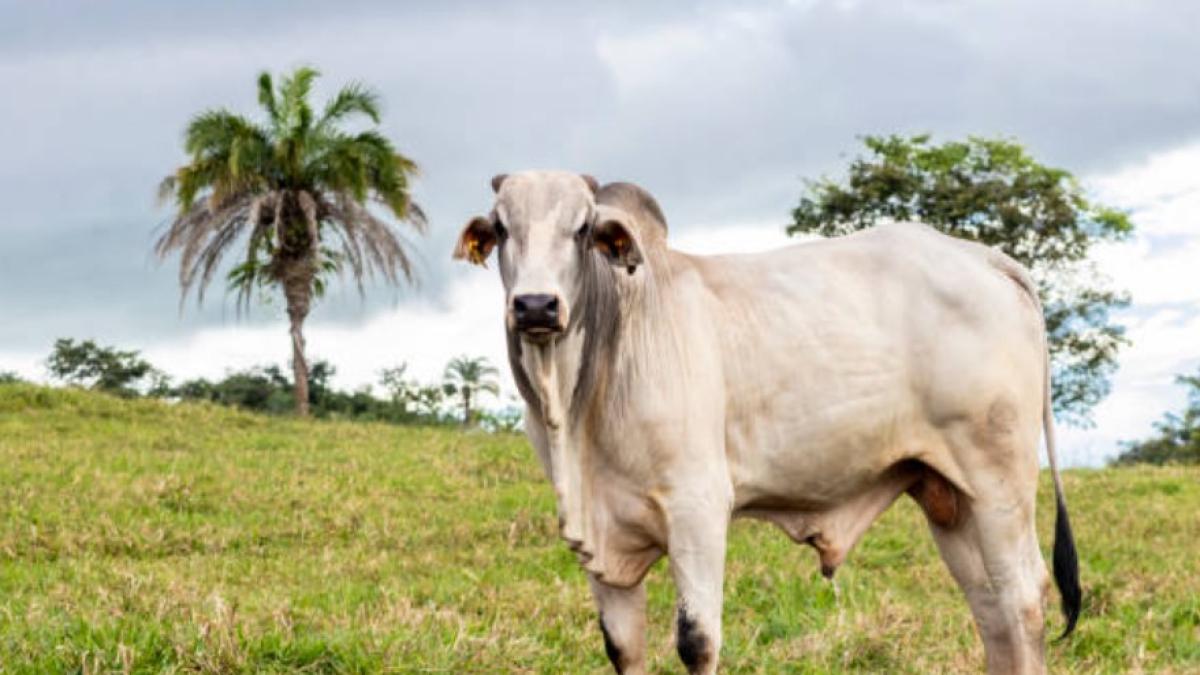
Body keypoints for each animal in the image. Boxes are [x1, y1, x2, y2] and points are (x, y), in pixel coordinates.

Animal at [453, 170, 1081, 674]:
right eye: (502, 227)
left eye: (583, 228)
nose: (536, 306)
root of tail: (985, 259)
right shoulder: (600, 537)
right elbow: (623, 648)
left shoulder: (698, 508)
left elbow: (697, 641)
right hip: (948, 495)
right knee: (991, 609)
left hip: (998, 481)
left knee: (1023, 598)